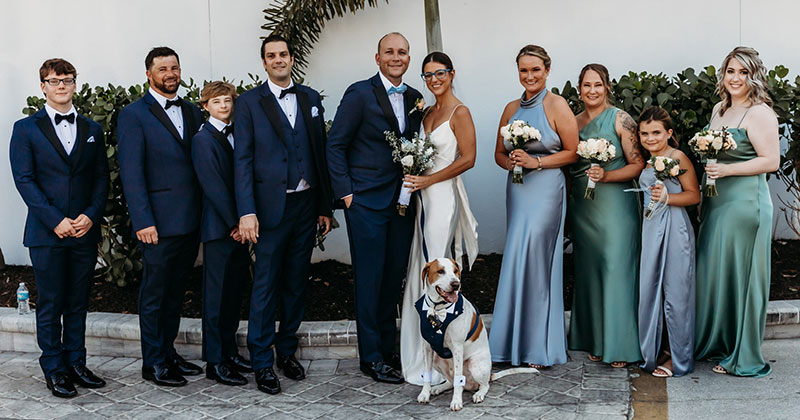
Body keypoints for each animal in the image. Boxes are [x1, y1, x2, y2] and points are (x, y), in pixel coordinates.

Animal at [416, 256, 536, 410]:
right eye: (440, 271)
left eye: (455, 271)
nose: (456, 284)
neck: (438, 309)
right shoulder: (427, 348)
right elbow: (427, 374)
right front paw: (424, 394)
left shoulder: (457, 348)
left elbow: (458, 380)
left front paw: (456, 401)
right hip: (437, 359)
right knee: (453, 381)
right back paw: (439, 388)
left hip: (475, 365)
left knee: (482, 385)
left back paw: (479, 394)